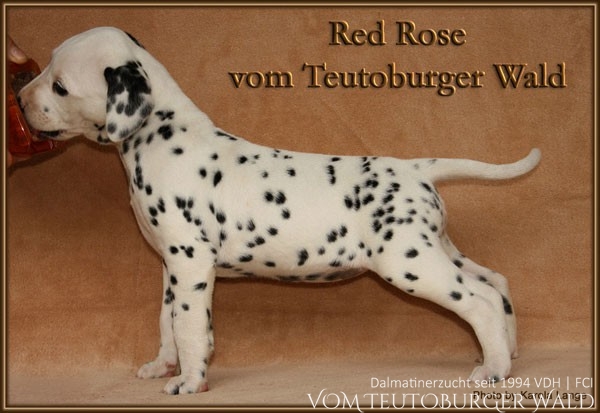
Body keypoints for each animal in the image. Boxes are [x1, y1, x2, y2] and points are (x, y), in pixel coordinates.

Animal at [18, 27, 540, 395]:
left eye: (59, 86)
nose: (20, 101)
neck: (162, 137)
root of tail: (417, 169)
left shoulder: (190, 263)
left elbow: (187, 326)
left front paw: (189, 381)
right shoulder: (172, 268)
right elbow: (169, 323)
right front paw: (165, 365)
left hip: (410, 262)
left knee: (481, 300)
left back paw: (492, 370)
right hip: (436, 248)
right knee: (497, 283)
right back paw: (509, 353)